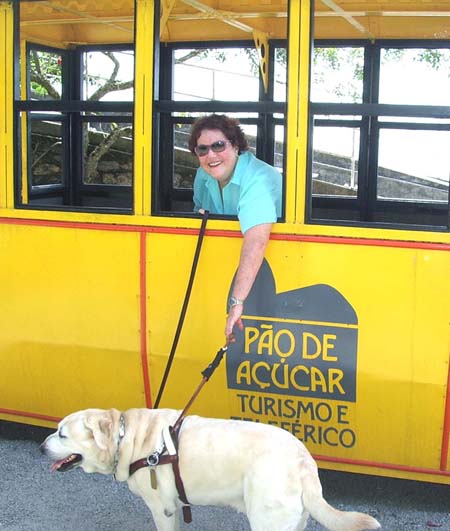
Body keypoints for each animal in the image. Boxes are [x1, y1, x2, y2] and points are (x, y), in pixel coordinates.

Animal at [41, 410, 380, 528]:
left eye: (61, 433)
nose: (41, 447)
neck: (129, 438)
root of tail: (303, 461)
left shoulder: (161, 509)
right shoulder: (175, 507)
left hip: (267, 520)